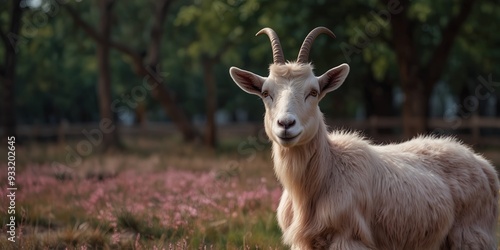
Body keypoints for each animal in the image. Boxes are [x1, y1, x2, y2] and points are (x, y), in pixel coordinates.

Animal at [229, 26, 500, 249]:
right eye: (266, 93)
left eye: (313, 92)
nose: (286, 125)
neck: (327, 172)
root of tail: (484, 166)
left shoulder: (349, 238)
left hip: (471, 236)